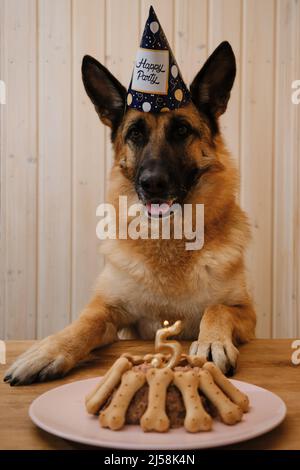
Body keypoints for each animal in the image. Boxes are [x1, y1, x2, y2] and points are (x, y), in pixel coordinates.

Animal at [4, 41, 255, 386]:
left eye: (182, 130)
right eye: (135, 134)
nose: (152, 183)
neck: (169, 240)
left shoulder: (246, 312)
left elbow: (217, 308)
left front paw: (211, 342)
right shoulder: (107, 309)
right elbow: (84, 324)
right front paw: (47, 350)